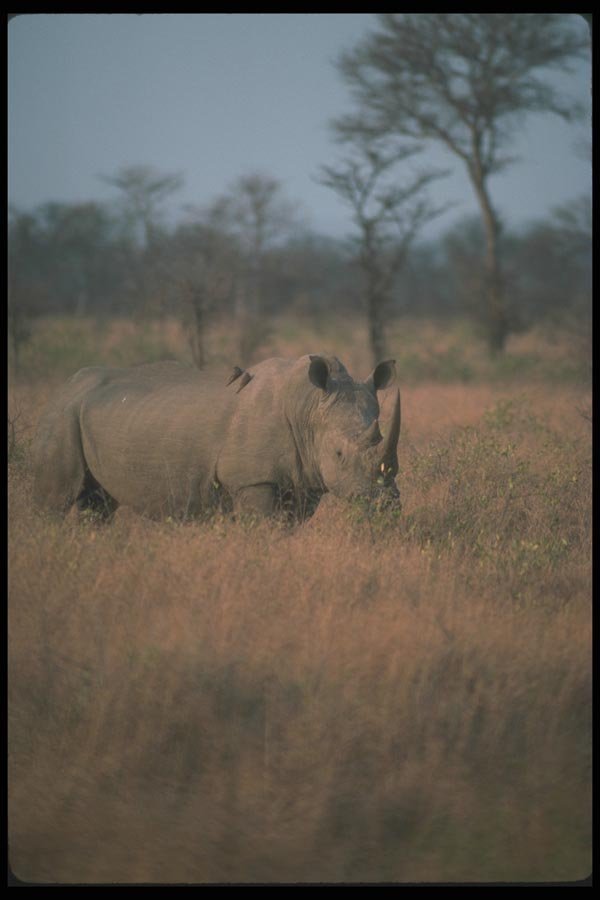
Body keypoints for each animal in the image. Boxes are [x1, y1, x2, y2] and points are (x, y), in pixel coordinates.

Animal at [32, 354, 401, 521]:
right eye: (339, 454)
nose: (385, 504)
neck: (308, 408)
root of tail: (64, 387)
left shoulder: (302, 480)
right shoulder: (252, 480)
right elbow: (263, 529)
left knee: (96, 502)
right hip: (62, 415)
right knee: (56, 500)